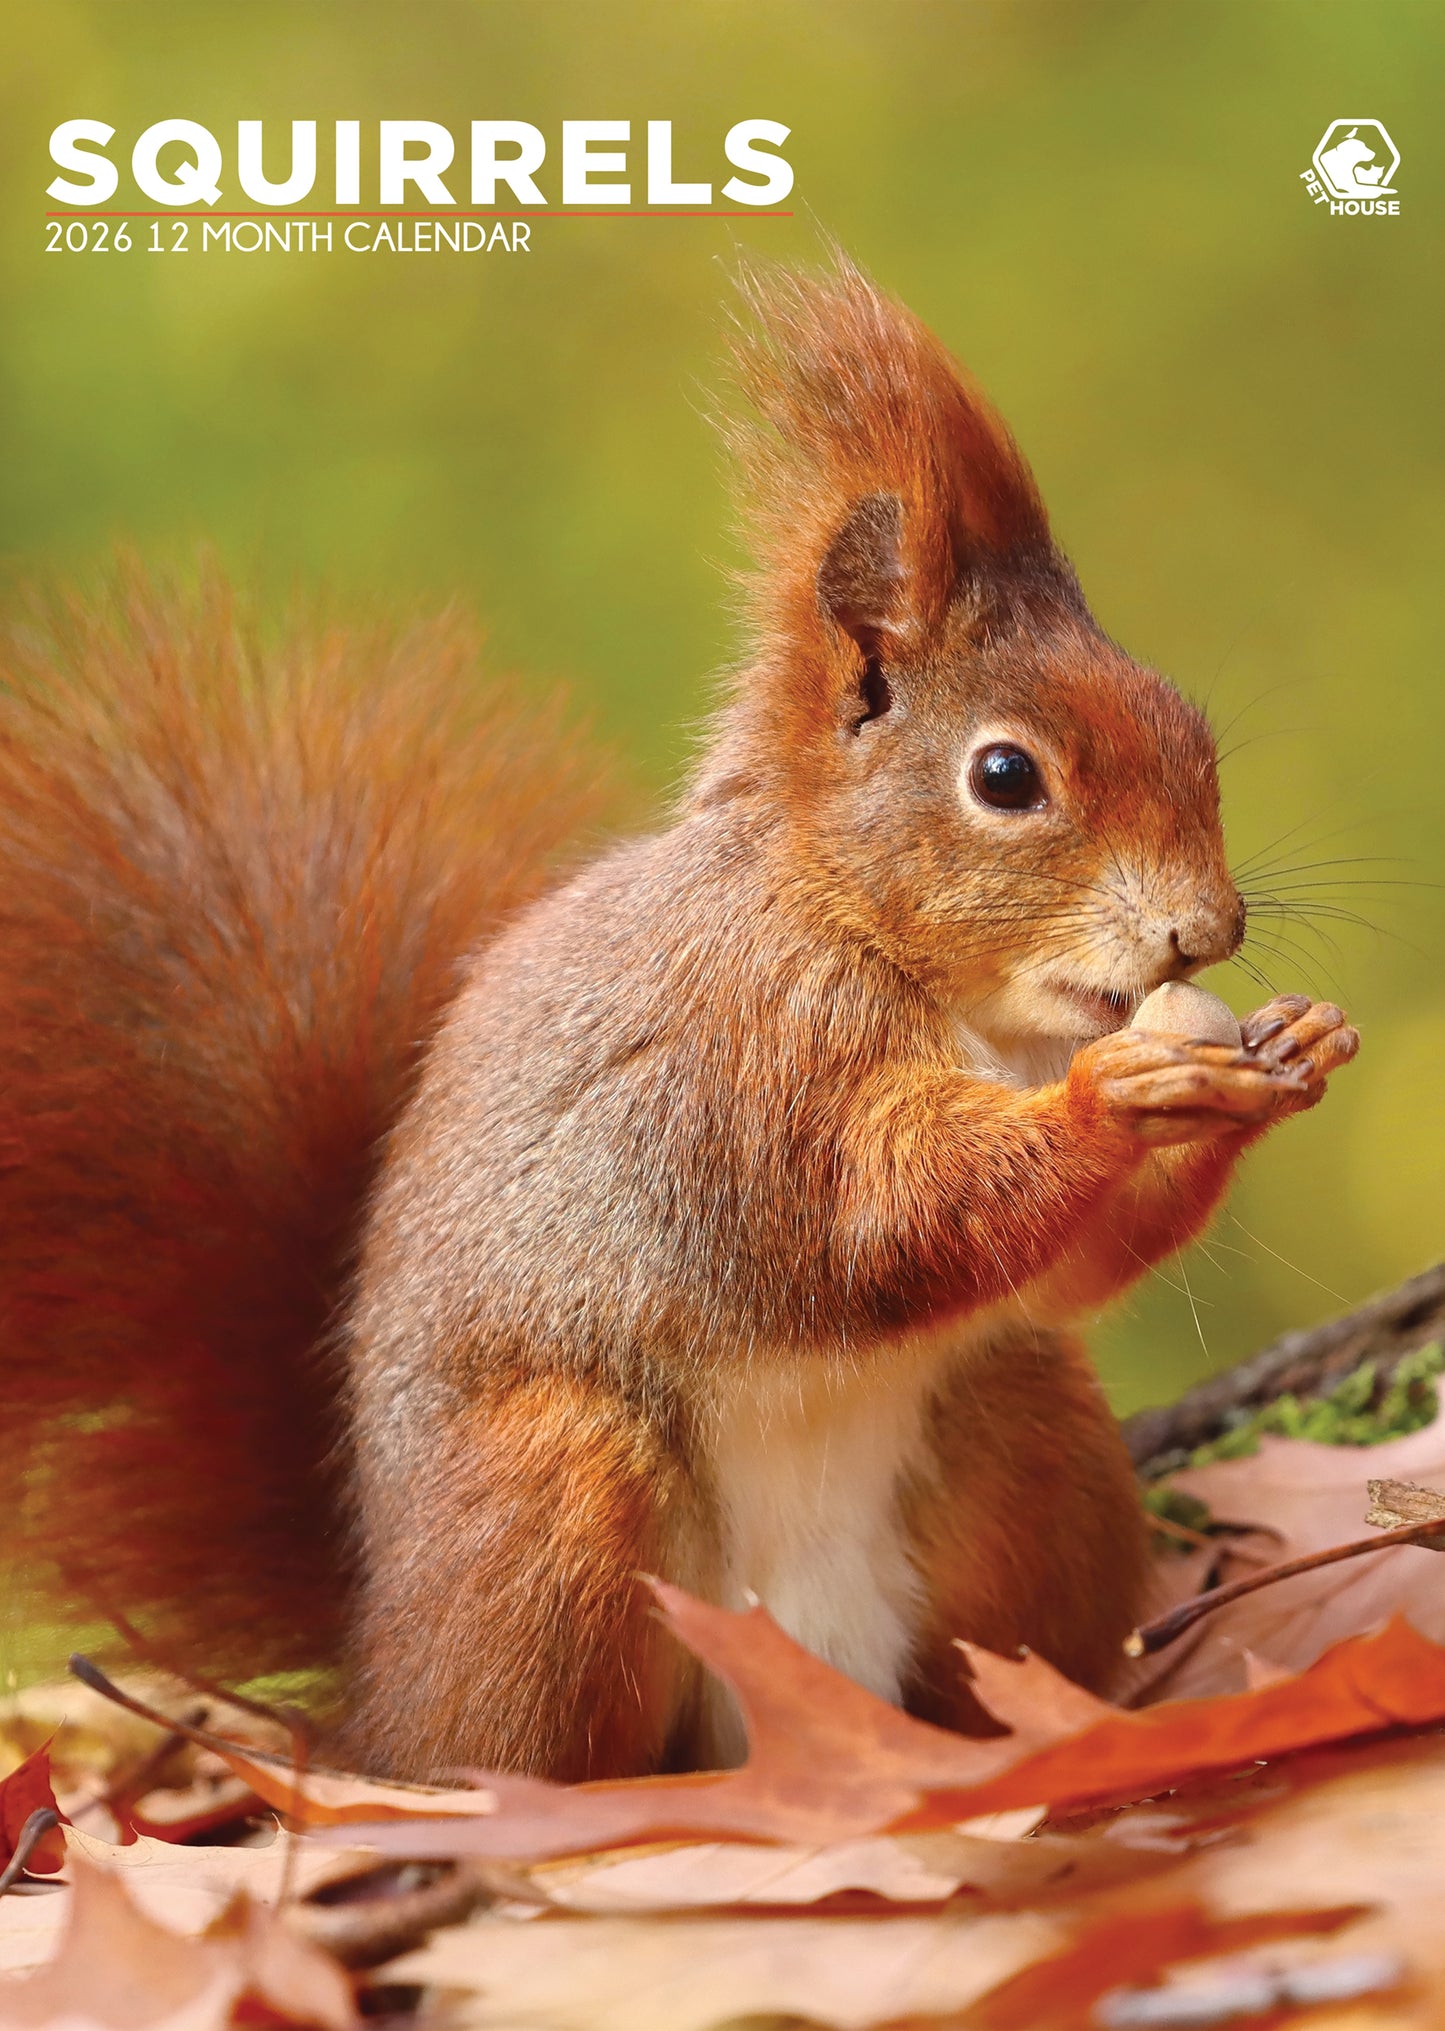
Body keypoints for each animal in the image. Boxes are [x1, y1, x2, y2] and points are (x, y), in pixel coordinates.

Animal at [2, 258, 1358, 1782]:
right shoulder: (736, 1057)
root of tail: (375, 1670)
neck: (936, 983)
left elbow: (1061, 1270)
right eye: (1005, 776)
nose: (1206, 929)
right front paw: (1112, 1096)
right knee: (521, 1737)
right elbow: (869, 1213)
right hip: (553, 1496)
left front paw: (1285, 1055)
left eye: (1189, 728)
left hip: (1024, 1438)